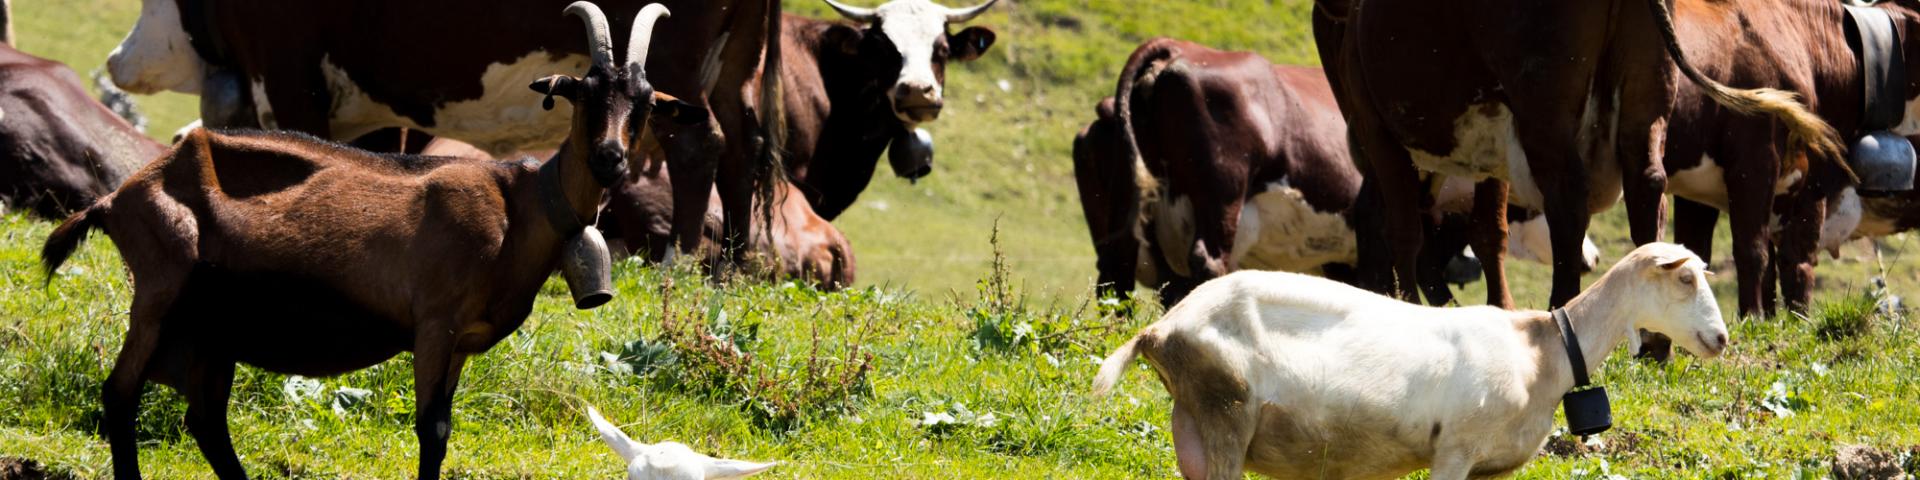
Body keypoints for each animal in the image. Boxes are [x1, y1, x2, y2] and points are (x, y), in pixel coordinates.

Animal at [37, 3, 703, 478]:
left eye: (645, 103)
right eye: (584, 93)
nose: (611, 157)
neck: (521, 205)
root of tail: (118, 197)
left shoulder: (460, 343)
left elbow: (443, 427)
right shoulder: (434, 322)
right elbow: (431, 431)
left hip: (213, 327)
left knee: (205, 418)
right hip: (159, 293)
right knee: (121, 395)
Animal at [107, 0, 785, 262]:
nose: (117, 60)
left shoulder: (289, 73)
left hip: (677, 66)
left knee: (699, 144)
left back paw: (678, 262)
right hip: (736, 65)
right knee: (742, 148)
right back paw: (729, 266)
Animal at [1073, 39, 1600, 308]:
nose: (1592, 255)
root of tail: (1176, 53)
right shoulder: (1376, 222)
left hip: (1120, 224)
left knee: (1115, 276)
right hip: (1221, 197)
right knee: (1206, 261)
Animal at [1092, 243, 1730, 480]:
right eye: (1687, 278)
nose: (1722, 339)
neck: (1542, 351)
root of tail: (1160, 329)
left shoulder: (1492, 468)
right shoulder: (1455, 451)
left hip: (1196, 423)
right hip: (1225, 411)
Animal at [1314, 0, 1845, 309]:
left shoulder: (1377, 129)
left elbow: (1406, 231)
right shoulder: (1489, 145)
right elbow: (1487, 232)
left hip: (1544, 111)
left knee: (1567, 202)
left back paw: (1562, 306)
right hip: (1644, 96)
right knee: (1648, 188)